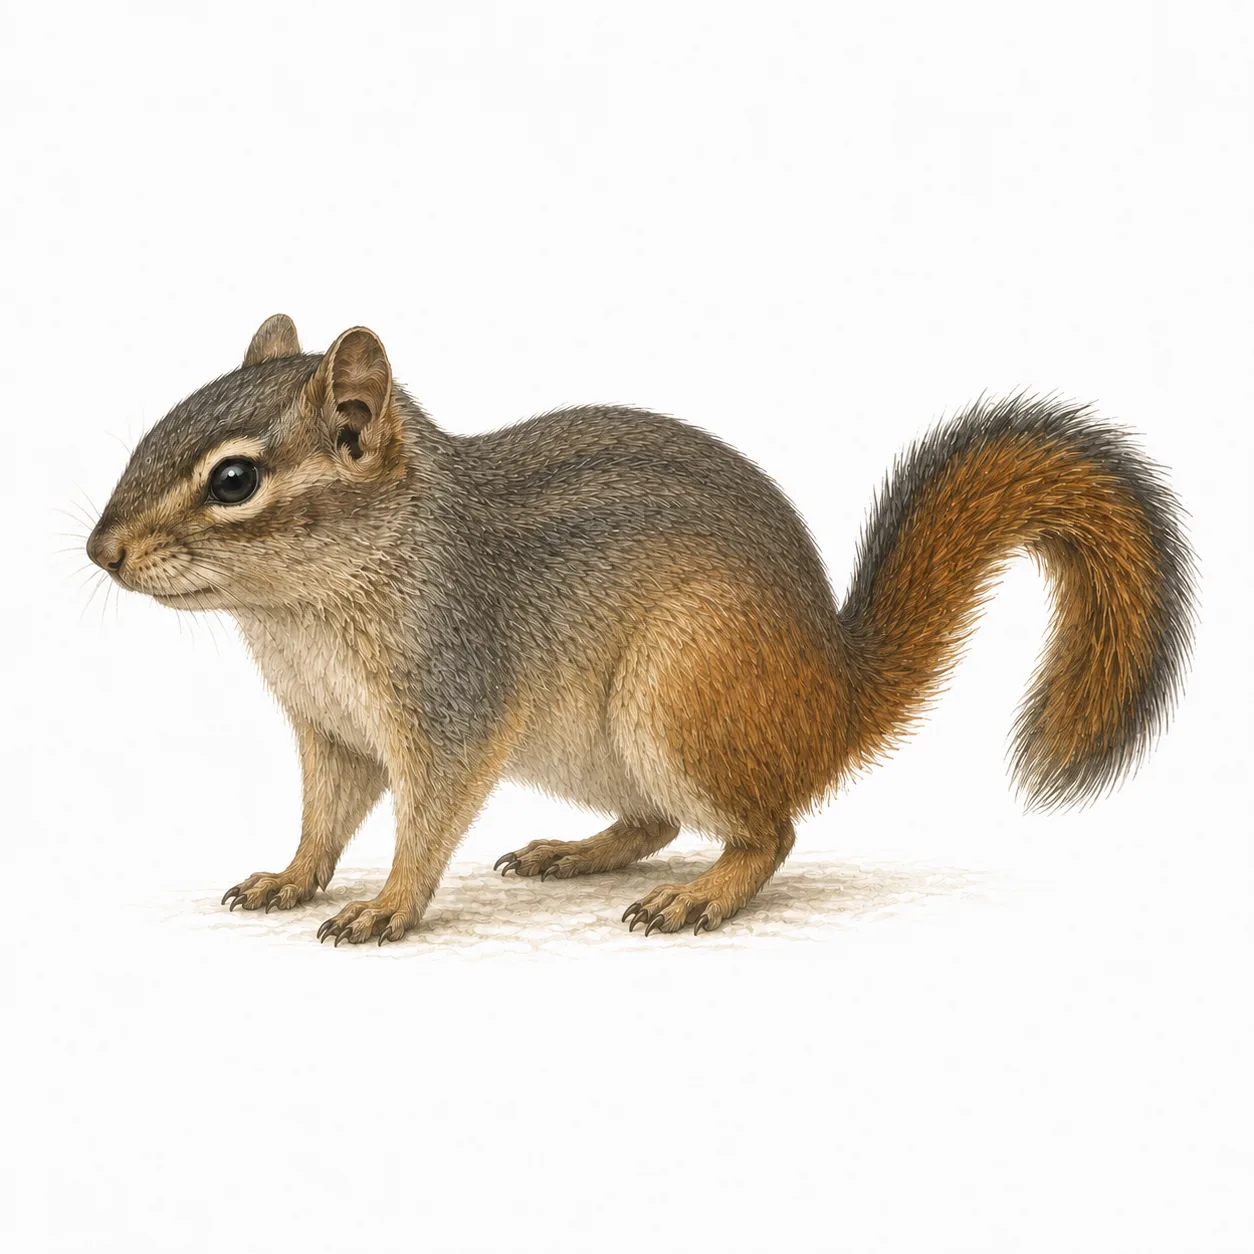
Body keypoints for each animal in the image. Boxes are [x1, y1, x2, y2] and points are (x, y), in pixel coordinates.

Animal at [87, 314, 1196, 945]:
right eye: (152, 431)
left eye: (235, 479)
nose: (100, 551)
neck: (302, 614)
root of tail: (833, 698)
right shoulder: (331, 731)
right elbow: (325, 816)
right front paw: (291, 879)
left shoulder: (452, 699)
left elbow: (428, 815)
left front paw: (390, 904)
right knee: (657, 822)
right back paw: (573, 854)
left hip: (680, 696)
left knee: (768, 830)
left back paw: (699, 898)